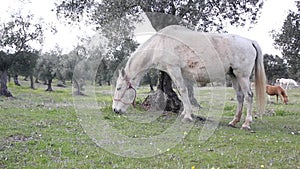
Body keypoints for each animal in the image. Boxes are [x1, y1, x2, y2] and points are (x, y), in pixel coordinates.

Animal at [112, 25, 264, 129]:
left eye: (119, 88)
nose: (115, 110)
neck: (160, 43)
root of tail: (249, 41)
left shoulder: (174, 70)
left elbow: (183, 91)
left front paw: (187, 117)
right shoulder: (183, 74)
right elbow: (184, 93)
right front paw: (185, 113)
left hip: (242, 76)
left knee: (249, 96)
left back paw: (246, 123)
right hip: (234, 76)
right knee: (240, 97)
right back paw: (234, 121)